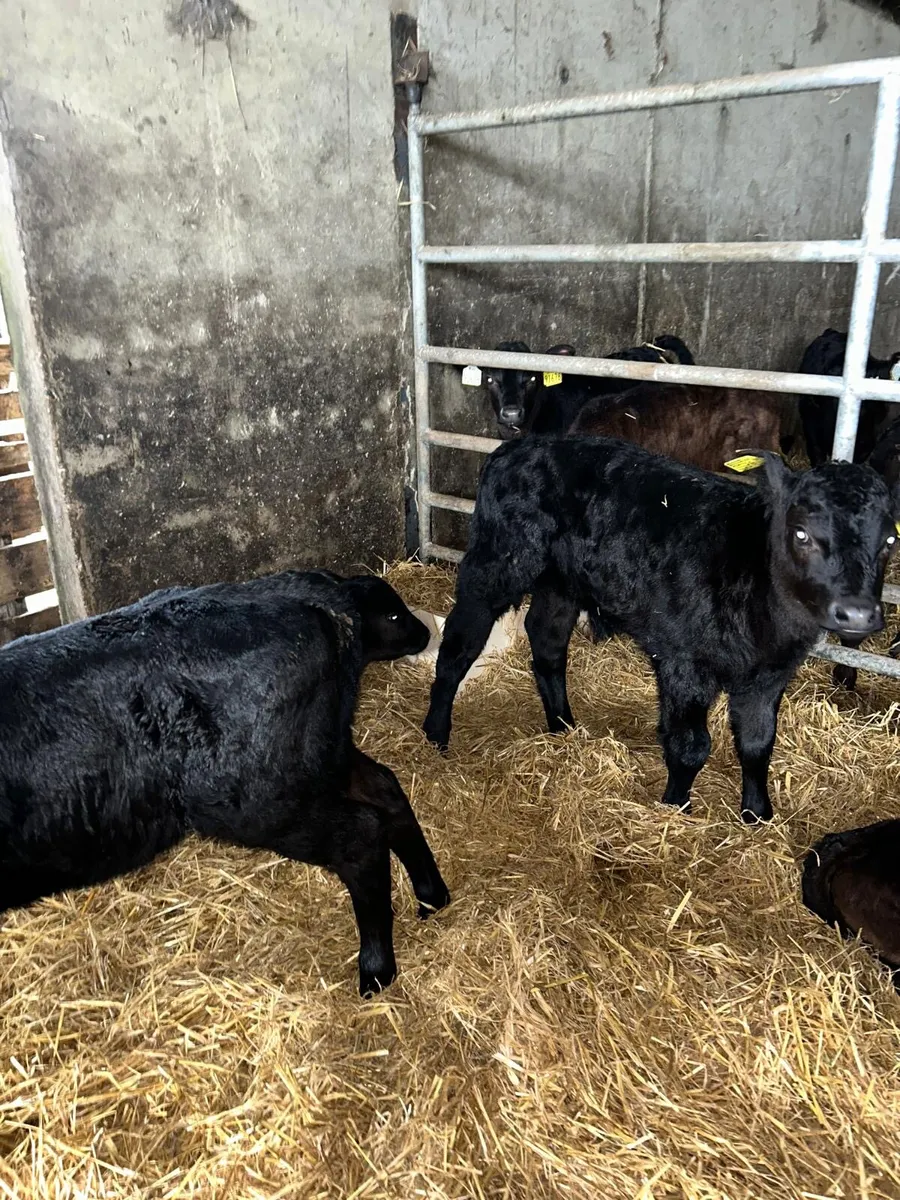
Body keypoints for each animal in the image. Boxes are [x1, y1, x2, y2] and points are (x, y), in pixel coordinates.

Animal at [0, 570, 450, 996]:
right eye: (394, 616)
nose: (425, 633)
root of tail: (317, 602)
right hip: (319, 754)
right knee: (384, 788)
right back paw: (431, 895)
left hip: (258, 796)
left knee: (361, 834)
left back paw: (376, 968)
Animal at [422, 438, 898, 823]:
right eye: (801, 534)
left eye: (890, 541)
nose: (857, 614)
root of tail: (514, 447)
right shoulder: (683, 663)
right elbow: (690, 745)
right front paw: (676, 809)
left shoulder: (768, 676)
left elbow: (758, 743)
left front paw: (758, 816)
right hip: (497, 562)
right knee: (460, 645)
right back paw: (435, 734)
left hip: (562, 582)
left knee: (547, 642)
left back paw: (562, 726)